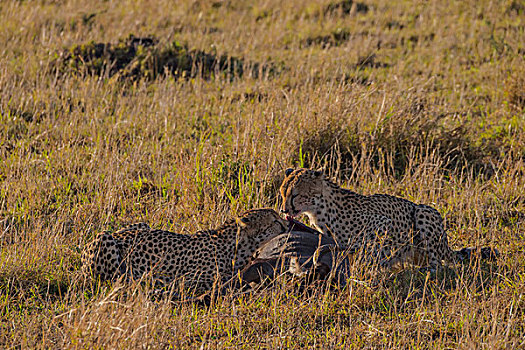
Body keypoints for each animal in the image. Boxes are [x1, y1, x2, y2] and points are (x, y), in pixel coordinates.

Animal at [80, 208, 288, 290]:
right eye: (275, 221)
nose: (287, 224)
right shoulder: (193, 281)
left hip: (142, 225)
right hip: (104, 238)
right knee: (111, 278)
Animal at [278, 168, 496, 272]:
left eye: (295, 195)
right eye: (282, 194)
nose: (283, 209)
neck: (319, 210)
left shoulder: (384, 223)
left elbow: (372, 246)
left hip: (423, 212)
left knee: (438, 263)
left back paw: (428, 270)